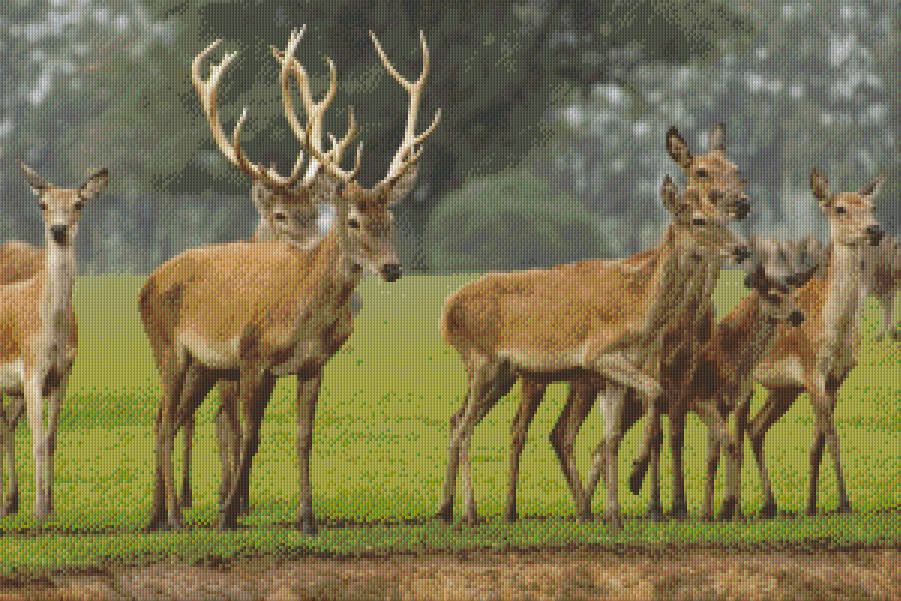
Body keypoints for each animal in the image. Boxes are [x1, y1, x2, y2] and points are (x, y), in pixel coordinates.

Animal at [0, 163, 109, 520]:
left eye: (79, 203)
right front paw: (38, 509)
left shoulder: (63, 373)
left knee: (5, 422)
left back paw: (10, 502)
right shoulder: (32, 369)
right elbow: (35, 440)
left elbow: (50, 438)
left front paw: (49, 506)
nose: (59, 229)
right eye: (42, 204)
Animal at [140, 26, 439, 532]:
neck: (305, 313)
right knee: (164, 422)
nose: (393, 268)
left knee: (173, 417)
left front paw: (307, 518)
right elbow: (249, 434)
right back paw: (177, 517)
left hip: (204, 366)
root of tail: (146, 283)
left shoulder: (313, 365)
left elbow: (303, 437)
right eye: (353, 220)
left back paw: (160, 514)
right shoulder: (251, 355)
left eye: (391, 217)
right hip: (170, 351)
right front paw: (227, 515)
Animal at [435, 171, 750, 530]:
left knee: (458, 419)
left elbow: (611, 436)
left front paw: (614, 514)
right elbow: (654, 391)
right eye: (698, 219)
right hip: (481, 360)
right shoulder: (598, 354)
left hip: (502, 373)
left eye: (724, 216)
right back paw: (470, 512)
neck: (638, 311)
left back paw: (446, 509)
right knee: (465, 428)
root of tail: (447, 313)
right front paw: (636, 474)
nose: (741, 249)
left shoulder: (616, 371)